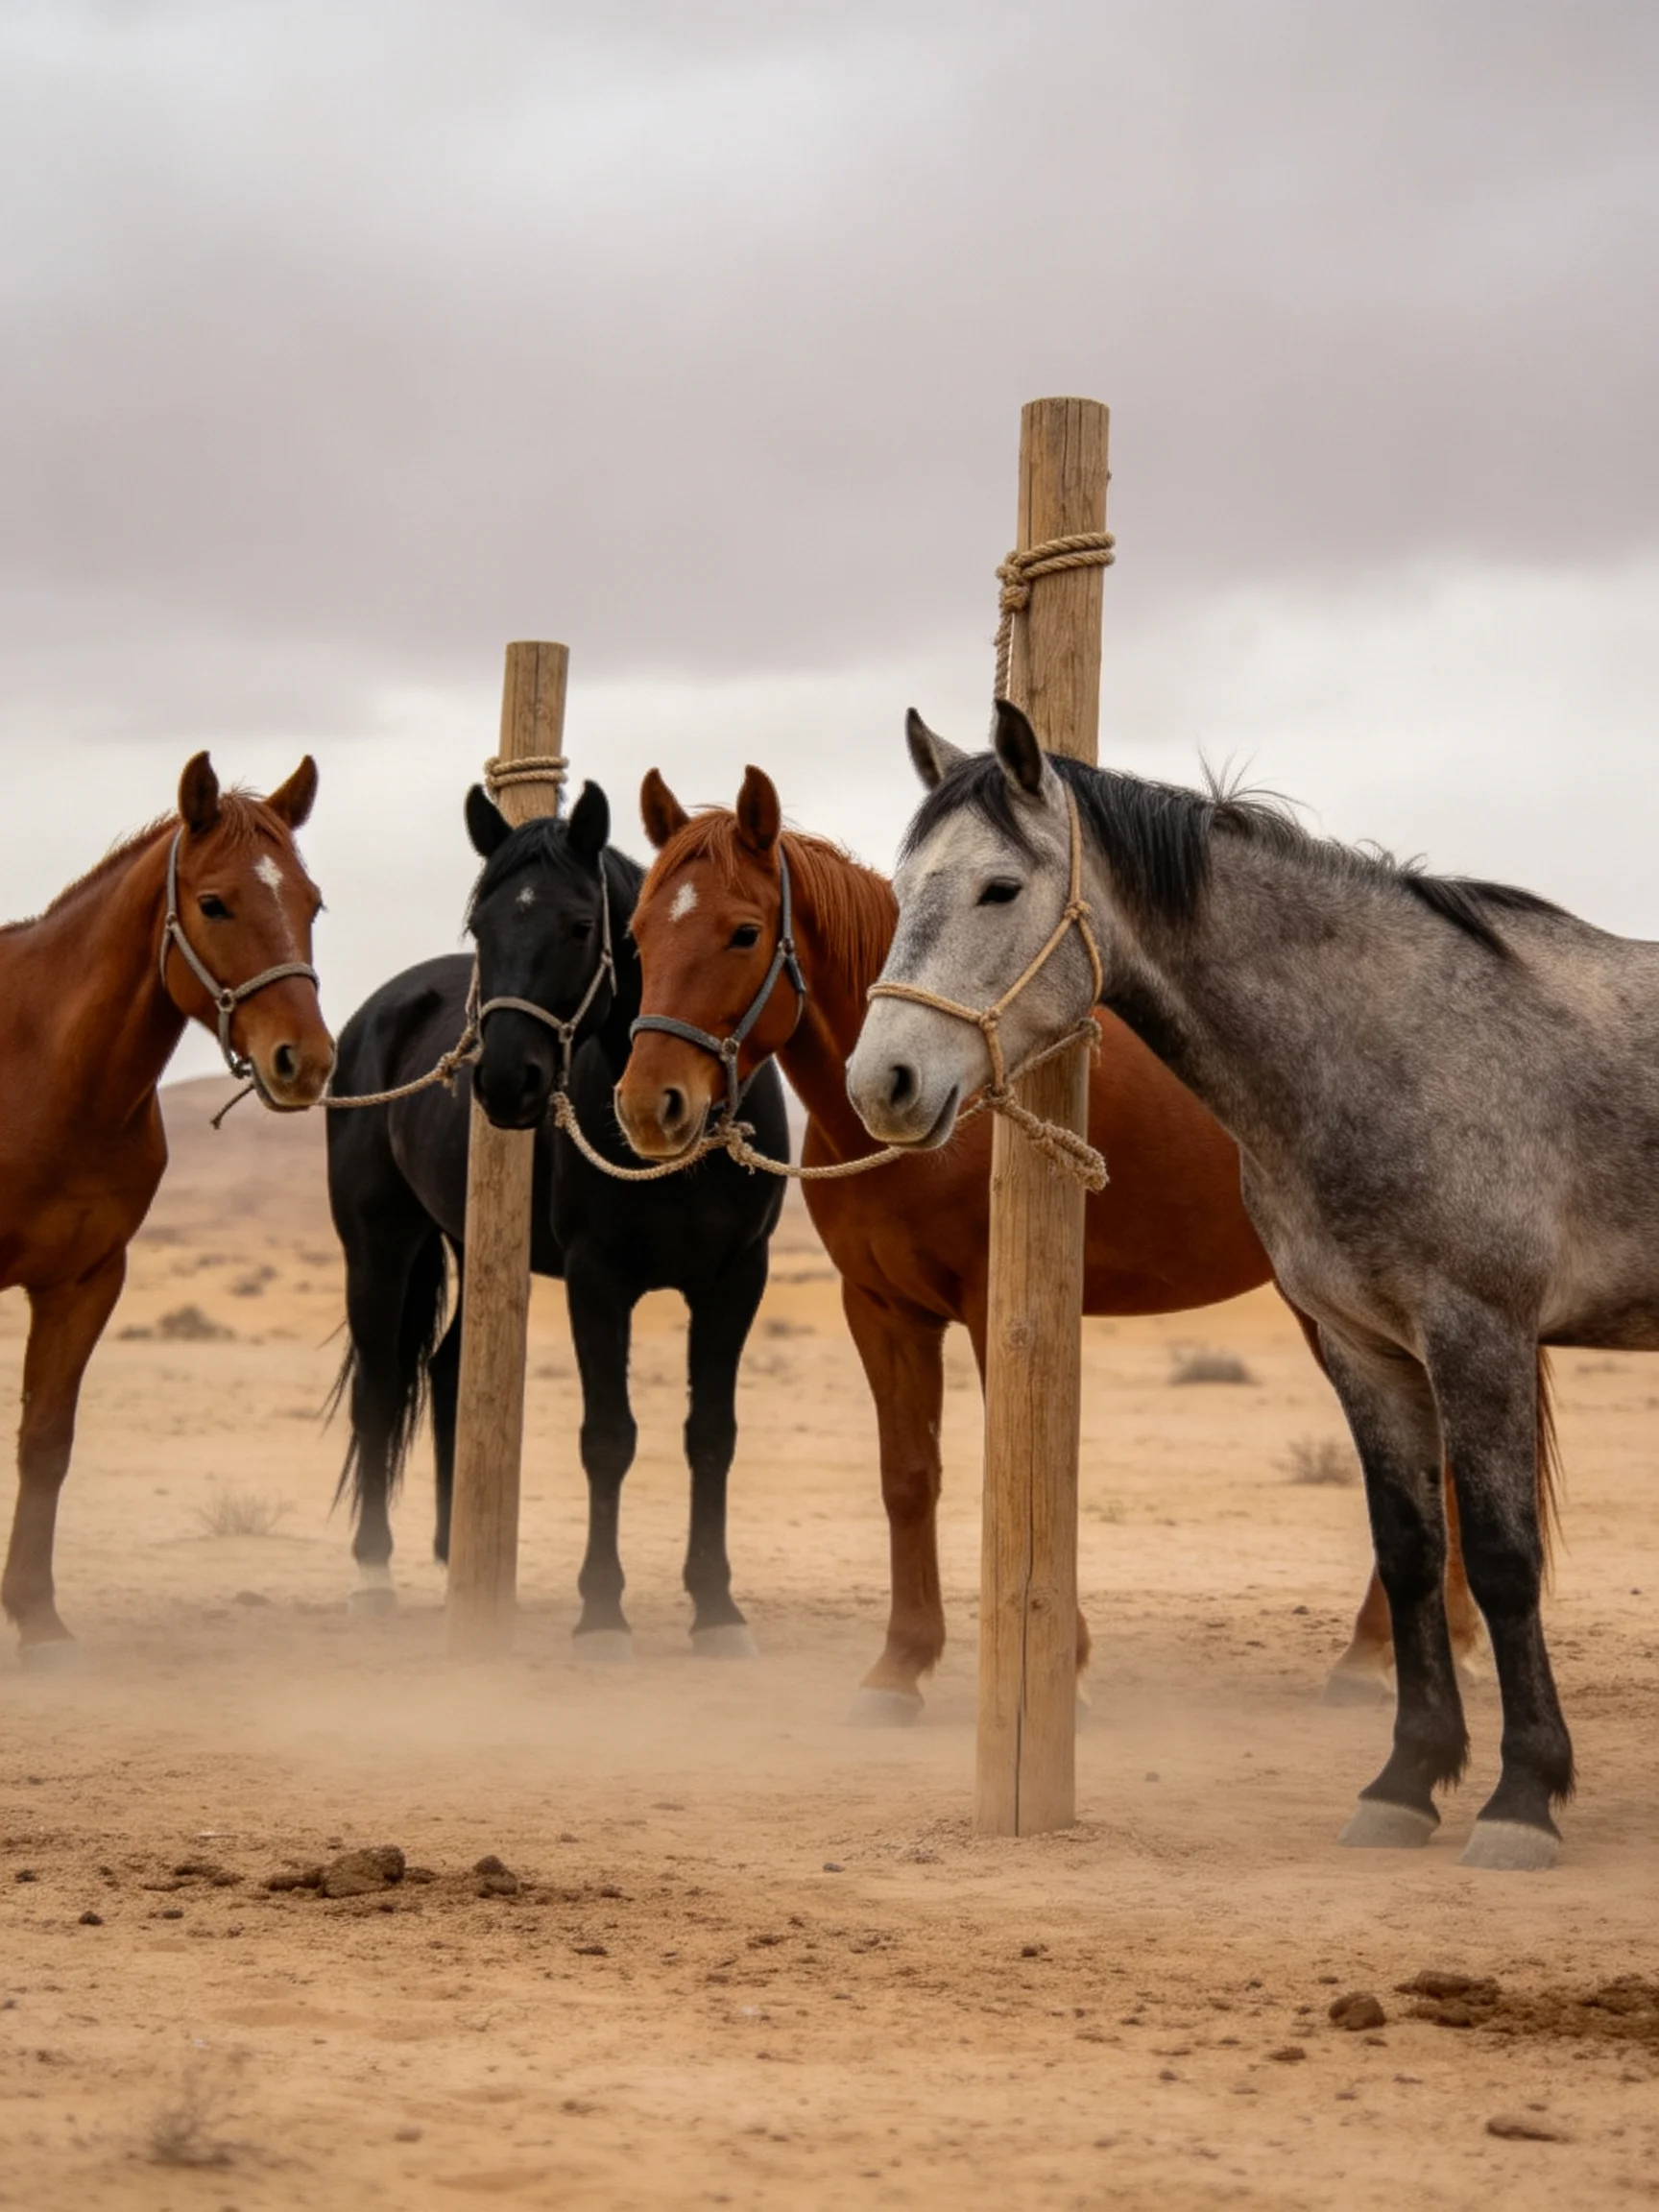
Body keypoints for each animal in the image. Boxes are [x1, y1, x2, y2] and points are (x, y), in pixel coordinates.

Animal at [0, 754, 332, 1662]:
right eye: (214, 903)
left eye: (311, 902)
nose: (305, 1062)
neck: (40, 1067)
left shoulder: (86, 1281)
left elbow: (47, 1443)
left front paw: (37, 1618)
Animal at [325, 779, 788, 1656]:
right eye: (480, 927)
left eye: (581, 926)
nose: (507, 1080)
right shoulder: (595, 1276)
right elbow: (608, 1437)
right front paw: (602, 1610)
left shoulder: (736, 1279)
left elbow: (712, 1435)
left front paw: (717, 1608)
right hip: (379, 1243)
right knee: (379, 1386)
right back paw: (371, 1572)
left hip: (466, 1238)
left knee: (448, 1369)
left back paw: (459, 1559)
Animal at [612, 763, 1497, 1720]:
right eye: (637, 933)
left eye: (743, 933)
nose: (650, 1104)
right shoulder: (882, 1311)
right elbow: (908, 1479)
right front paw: (900, 1666)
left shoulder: (997, 1308)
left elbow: (1018, 1473)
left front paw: (1059, 1659)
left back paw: (1370, 1657)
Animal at [847, 699, 1594, 1870]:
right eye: (899, 881)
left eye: (999, 889)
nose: (883, 1083)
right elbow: (1410, 1544)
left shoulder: (1477, 1329)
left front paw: (1521, 1800)